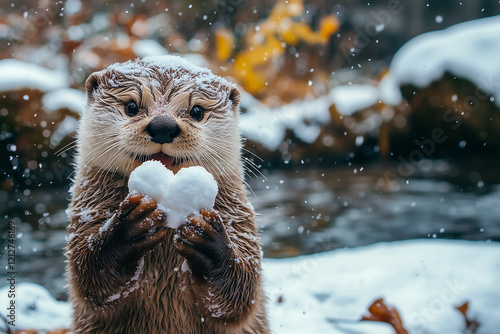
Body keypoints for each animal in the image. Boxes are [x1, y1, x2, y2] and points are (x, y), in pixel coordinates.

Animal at [67, 56, 272, 332]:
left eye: (196, 111)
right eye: (131, 106)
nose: (162, 125)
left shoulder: (239, 218)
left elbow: (242, 294)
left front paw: (207, 241)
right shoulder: (87, 209)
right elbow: (87, 276)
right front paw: (129, 227)